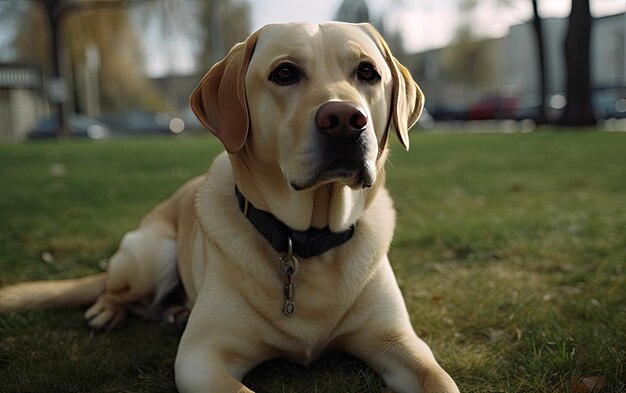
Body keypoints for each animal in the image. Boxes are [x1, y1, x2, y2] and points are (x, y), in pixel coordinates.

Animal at [0, 23, 458, 392]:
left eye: (367, 72)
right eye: (284, 73)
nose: (346, 119)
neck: (304, 240)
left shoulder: (401, 342)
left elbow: (440, 380)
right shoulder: (202, 357)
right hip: (152, 252)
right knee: (117, 290)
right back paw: (109, 310)